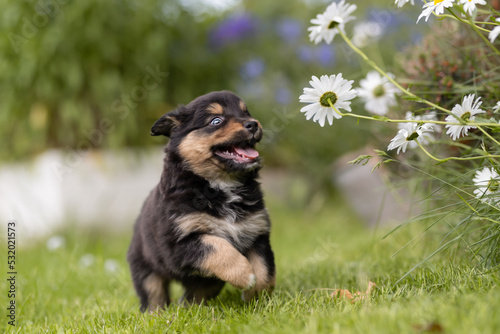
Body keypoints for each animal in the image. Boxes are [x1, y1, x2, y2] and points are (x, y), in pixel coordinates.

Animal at [128, 90, 278, 312]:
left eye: (246, 112)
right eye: (216, 121)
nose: (252, 124)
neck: (220, 184)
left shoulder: (256, 232)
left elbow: (265, 270)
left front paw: (256, 296)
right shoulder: (178, 243)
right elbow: (217, 247)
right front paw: (245, 275)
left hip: (207, 282)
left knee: (195, 294)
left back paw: (193, 309)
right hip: (145, 267)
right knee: (153, 294)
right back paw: (157, 314)